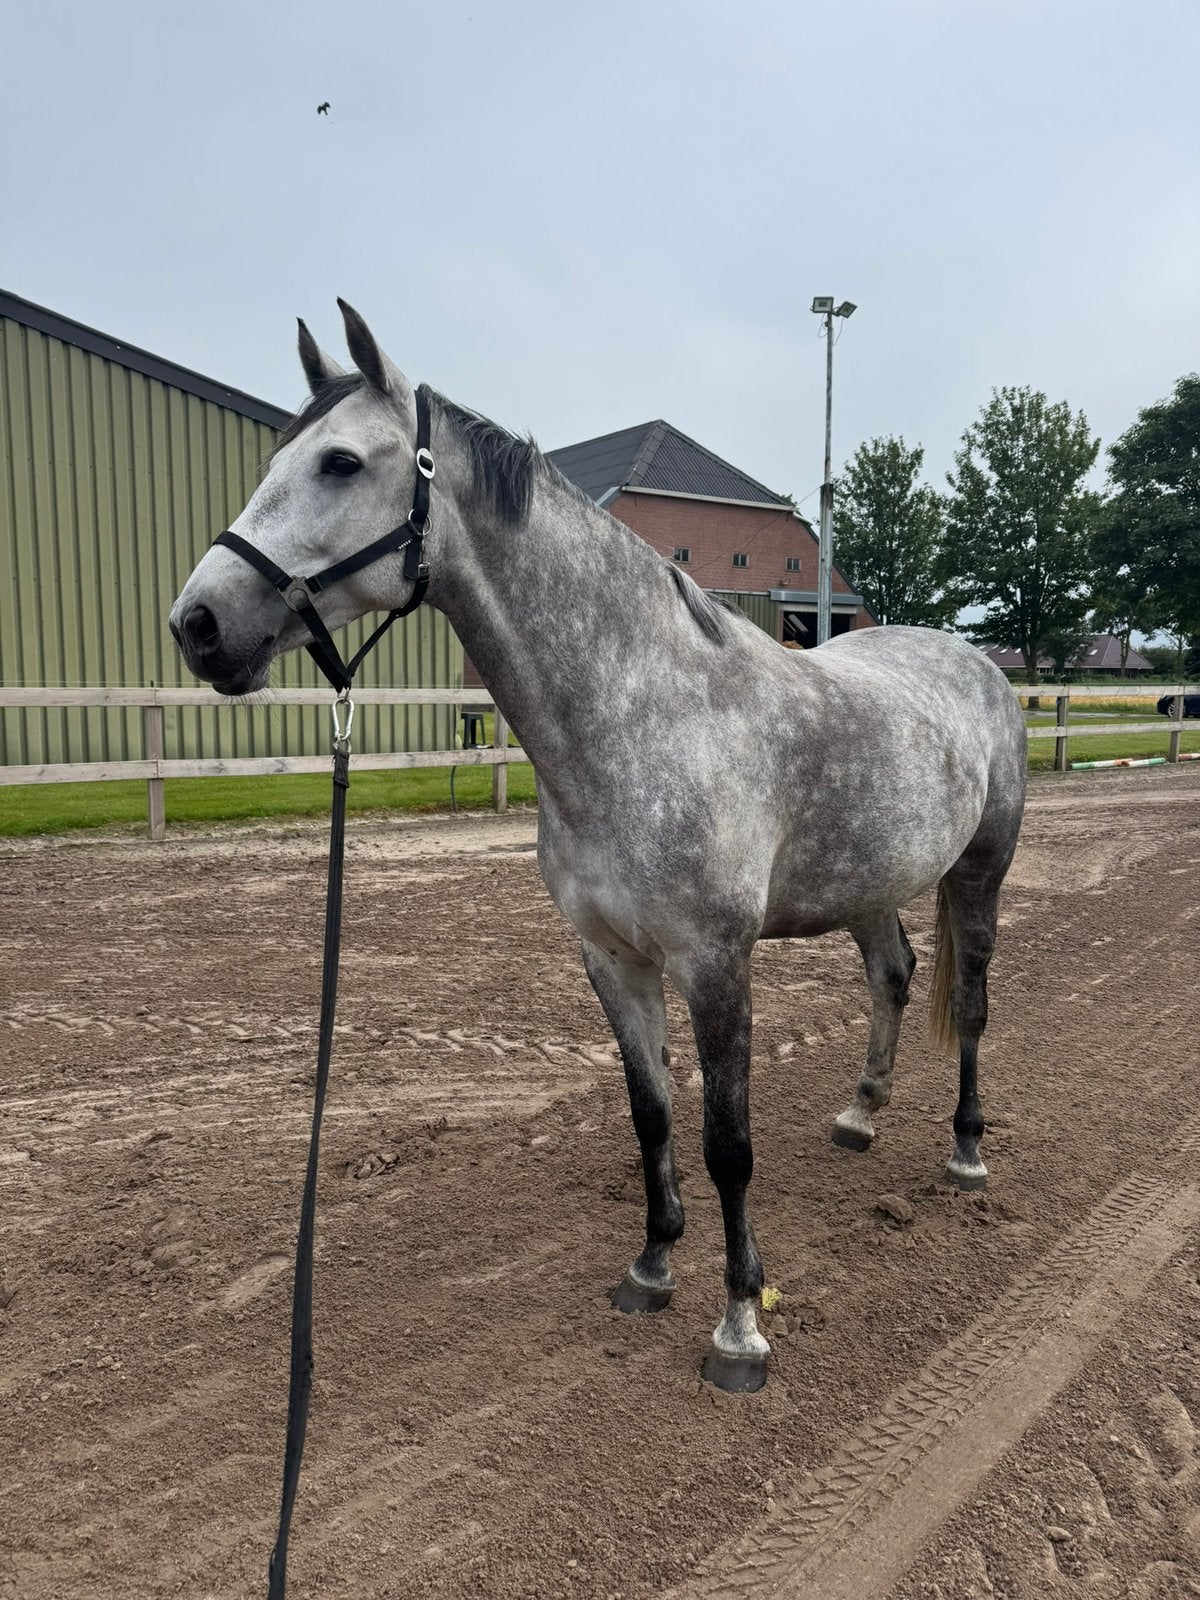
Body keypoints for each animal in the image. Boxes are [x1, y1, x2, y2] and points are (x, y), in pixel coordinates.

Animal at [169, 301, 1026, 1392]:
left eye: (339, 462)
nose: (198, 624)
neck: (642, 716)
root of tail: (975, 661)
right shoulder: (611, 959)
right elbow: (651, 1113)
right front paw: (653, 1265)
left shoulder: (715, 963)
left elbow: (727, 1140)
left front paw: (740, 1325)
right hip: (869, 885)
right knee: (894, 974)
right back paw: (860, 1115)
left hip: (979, 871)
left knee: (972, 1002)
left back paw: (966, 1152)